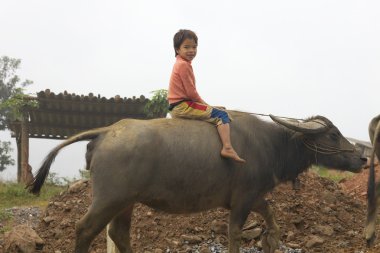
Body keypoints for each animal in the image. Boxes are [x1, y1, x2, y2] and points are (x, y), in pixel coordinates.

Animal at [28, 111, 366, 252]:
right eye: (332, 135)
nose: (362, 159)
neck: (272, 144)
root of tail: (106, 131)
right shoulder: (242, 200)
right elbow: (234, 233)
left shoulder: (253, 196)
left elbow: (273, 219)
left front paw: (270, 241)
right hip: (109, 198)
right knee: (85, 229)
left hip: (126, 202)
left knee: (118, 233)